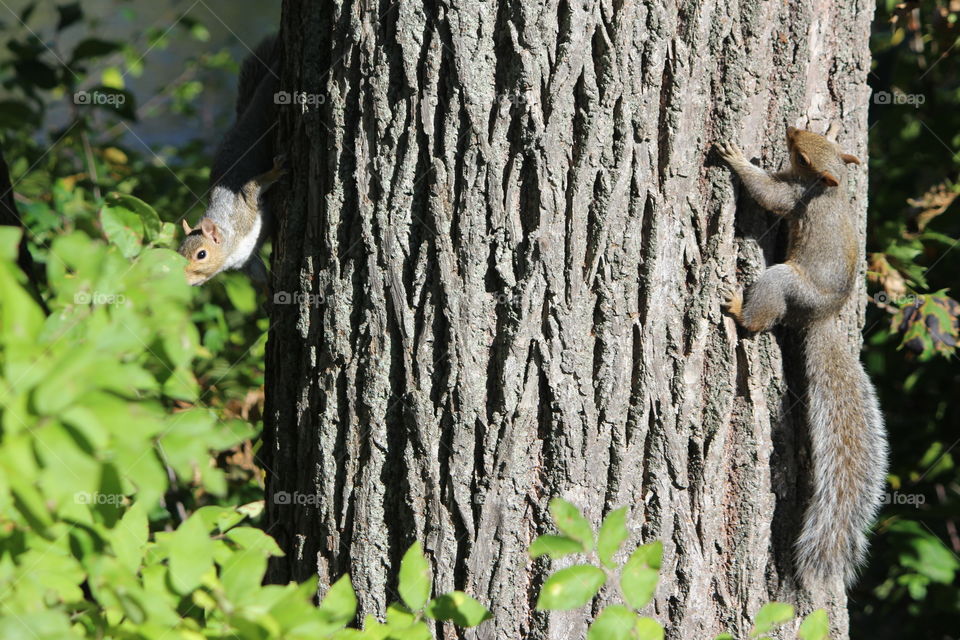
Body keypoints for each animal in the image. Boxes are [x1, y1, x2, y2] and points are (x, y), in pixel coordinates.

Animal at [179, 34, 284, 286]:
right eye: (178, 252)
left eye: (201, 254)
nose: (180, 280)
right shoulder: (248, 261)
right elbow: (260, 277)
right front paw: (270, 293)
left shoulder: (243, 206)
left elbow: (253, 185)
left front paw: (277, 171)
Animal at [716, 126, 888, 588]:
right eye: (807, 138)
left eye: (804, 157)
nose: (791, 130)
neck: (830, 188)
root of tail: (821, 316)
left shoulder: (792, 196)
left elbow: (766, 193)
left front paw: (735, 158)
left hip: (784, 281)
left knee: (762, 320)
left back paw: (739, 308)